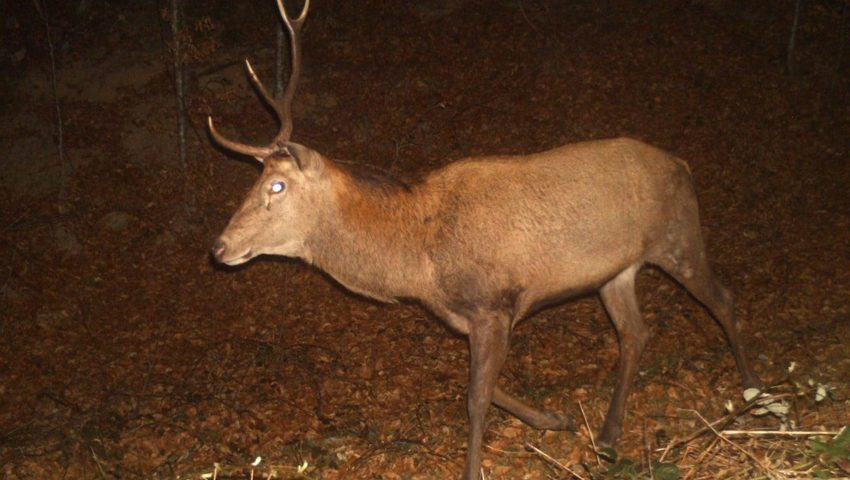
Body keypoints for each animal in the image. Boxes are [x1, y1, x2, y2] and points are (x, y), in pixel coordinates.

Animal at [209, 1, 764, 478]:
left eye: (276, 185)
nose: (218, 247)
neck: (418, 263)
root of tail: (682, 164)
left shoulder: (495, 305)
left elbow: (476, 398)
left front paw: (475, 467)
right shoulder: (465, 318)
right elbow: (488, 387)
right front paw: (556, 419)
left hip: (678, 237)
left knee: (722, 297)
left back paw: (754, 392)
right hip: (615, 272)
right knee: (635, 333)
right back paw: (607, 435)